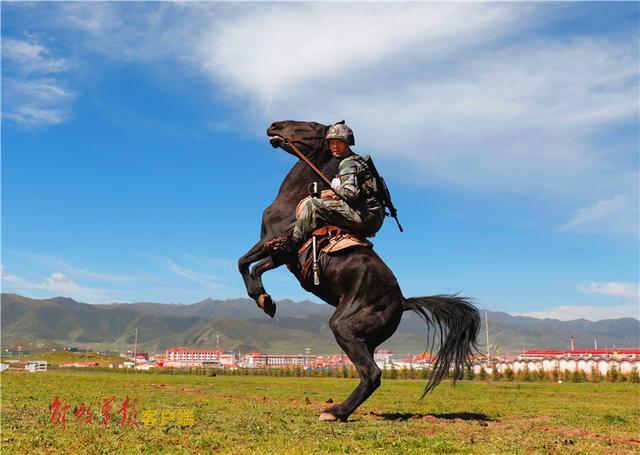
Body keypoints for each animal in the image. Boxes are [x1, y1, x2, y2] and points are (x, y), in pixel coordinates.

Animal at [238, 120, 480, 422]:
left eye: (311, 126)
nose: (274, 126)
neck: (294, 199)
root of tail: (402, 302)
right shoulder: (281, 256)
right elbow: (252, 266)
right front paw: (265, 300)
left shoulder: (275, 245)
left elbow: (243, 263)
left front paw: (262, 299)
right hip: (366, 341)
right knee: (369, 374)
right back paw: (340, 410)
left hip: (344, 328)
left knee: (371, 373)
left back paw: (335, 412)